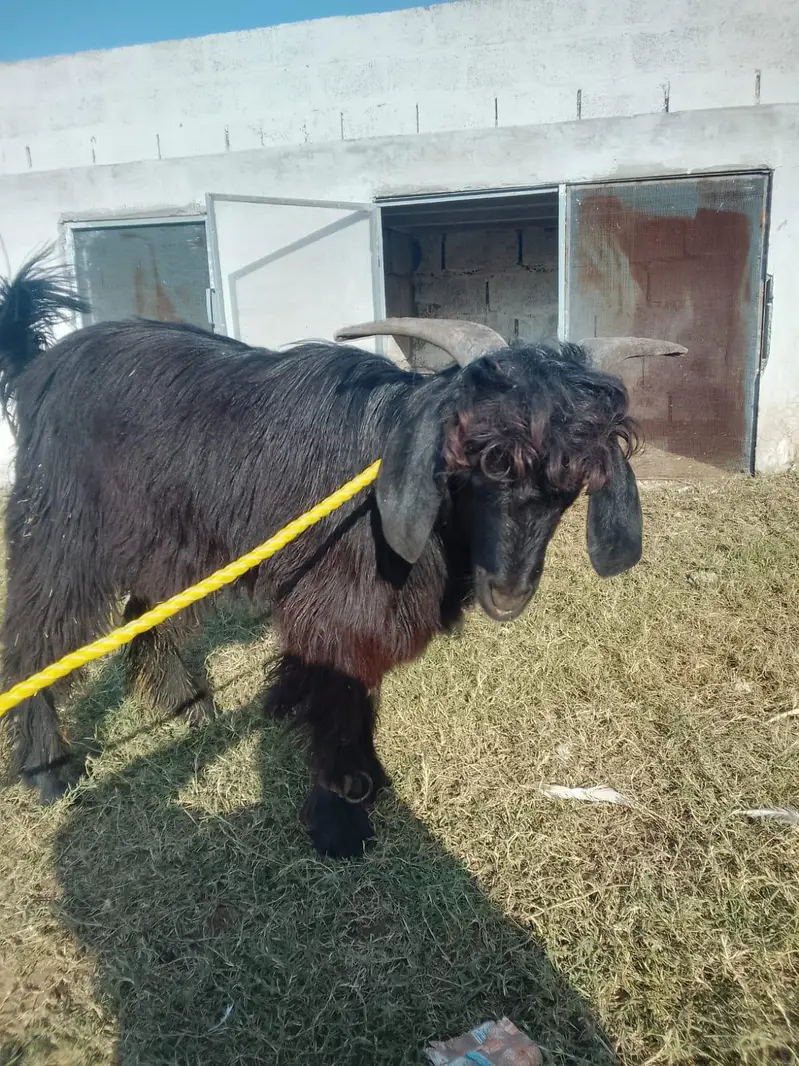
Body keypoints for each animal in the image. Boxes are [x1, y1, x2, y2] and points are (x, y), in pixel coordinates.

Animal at [0, 251, 685, 857]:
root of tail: (42, 365)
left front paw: (357, 768)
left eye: (574, 485)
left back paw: (192, 708)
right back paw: (48, 768)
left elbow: (350, 687)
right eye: (475, 460)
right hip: (62, 532)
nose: (508, 593)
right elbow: (338, 696)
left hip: (174, 543)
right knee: (38, 636)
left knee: (150, 617)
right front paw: (340, 817)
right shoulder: (339, 608)